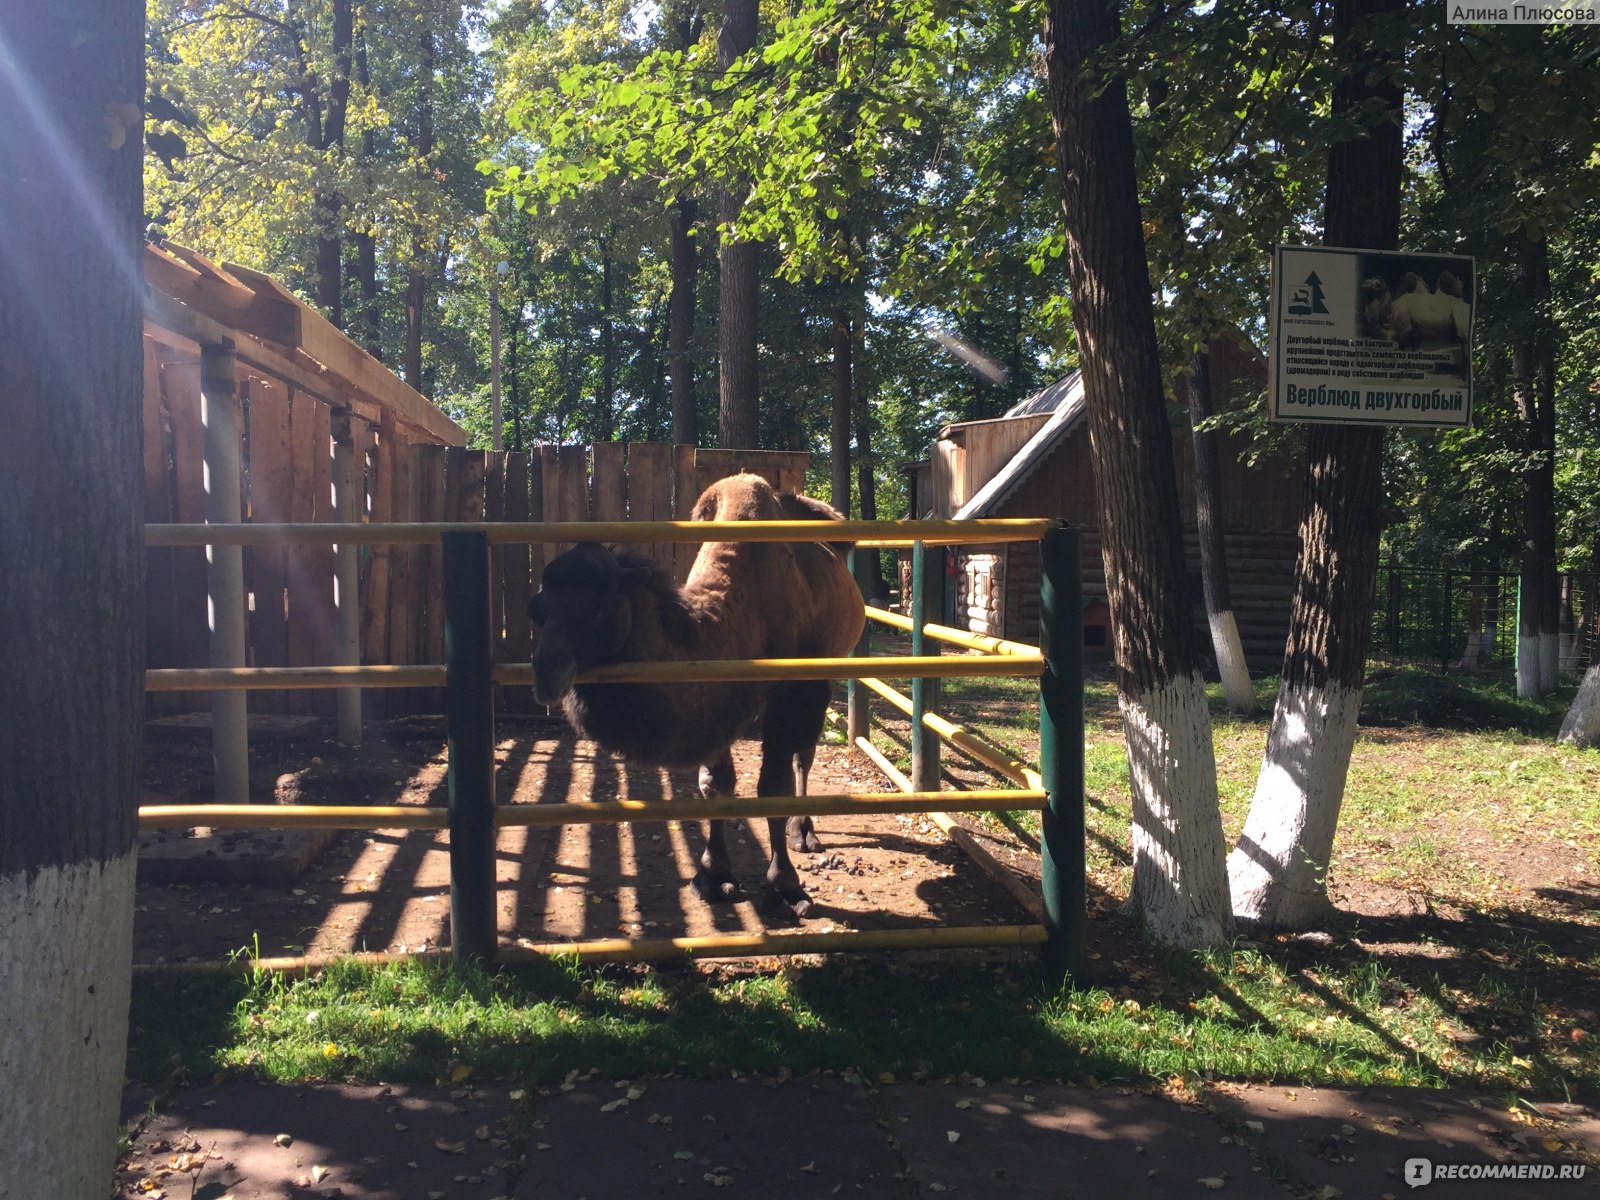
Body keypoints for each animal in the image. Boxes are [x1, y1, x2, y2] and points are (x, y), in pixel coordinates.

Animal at [528, 473, 864, 915]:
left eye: (600, 608)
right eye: (539, 610)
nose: (546, 673)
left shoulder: (792, 693)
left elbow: (773, 786)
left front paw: (786, 887)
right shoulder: (717, 702)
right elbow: (716, 783)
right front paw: (713, 876)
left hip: (828, 672)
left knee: (803, 756)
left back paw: (803, 831)